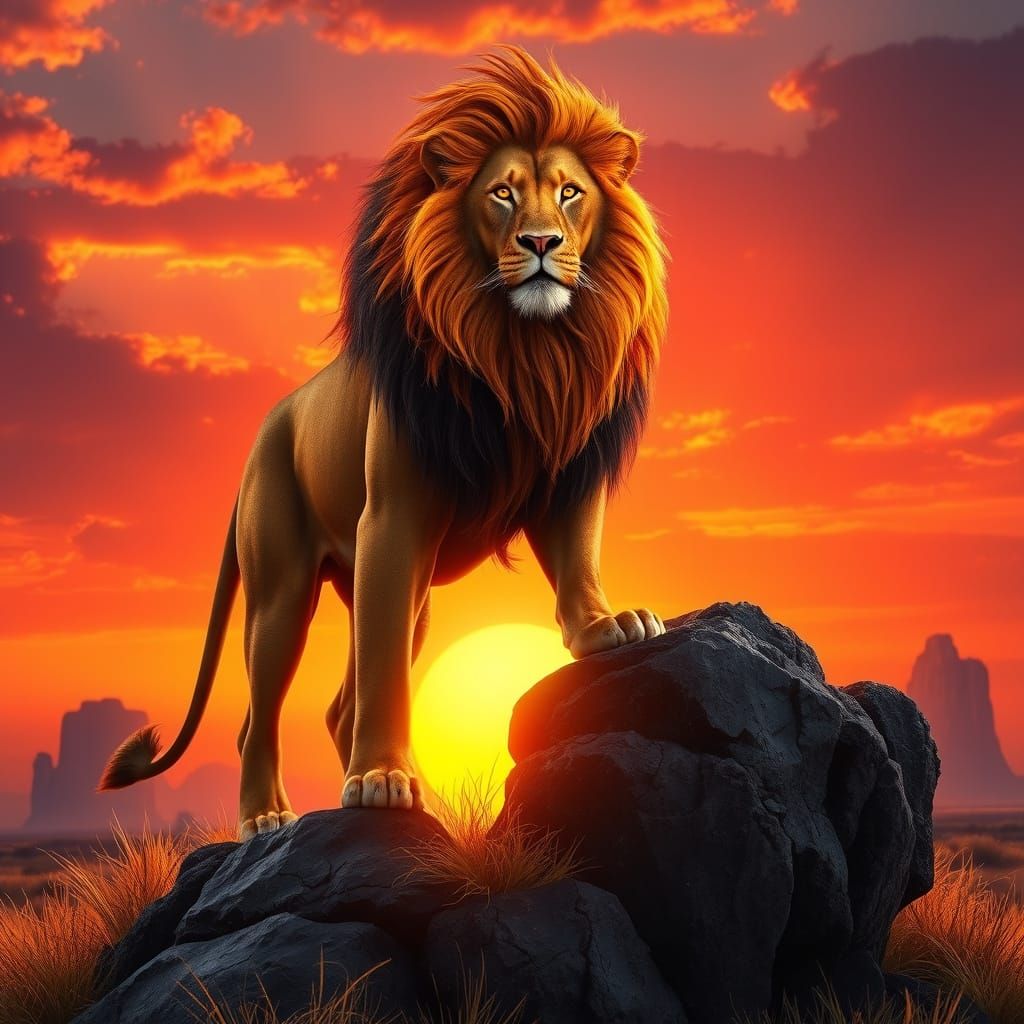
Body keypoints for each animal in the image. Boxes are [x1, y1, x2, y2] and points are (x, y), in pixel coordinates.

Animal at [100, 46, 669, 841]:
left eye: (570, 193)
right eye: (501, 193)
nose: (541, 244)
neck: (522, 350)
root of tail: (264, 430)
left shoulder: (568, 473)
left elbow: (577, 558)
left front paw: (607, 626)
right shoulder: (393, 519)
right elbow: (383, 679)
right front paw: (377, 778)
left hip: (409, 593)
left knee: (338, 706)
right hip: (283, 590)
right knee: (259, 716)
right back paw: (268, 816)